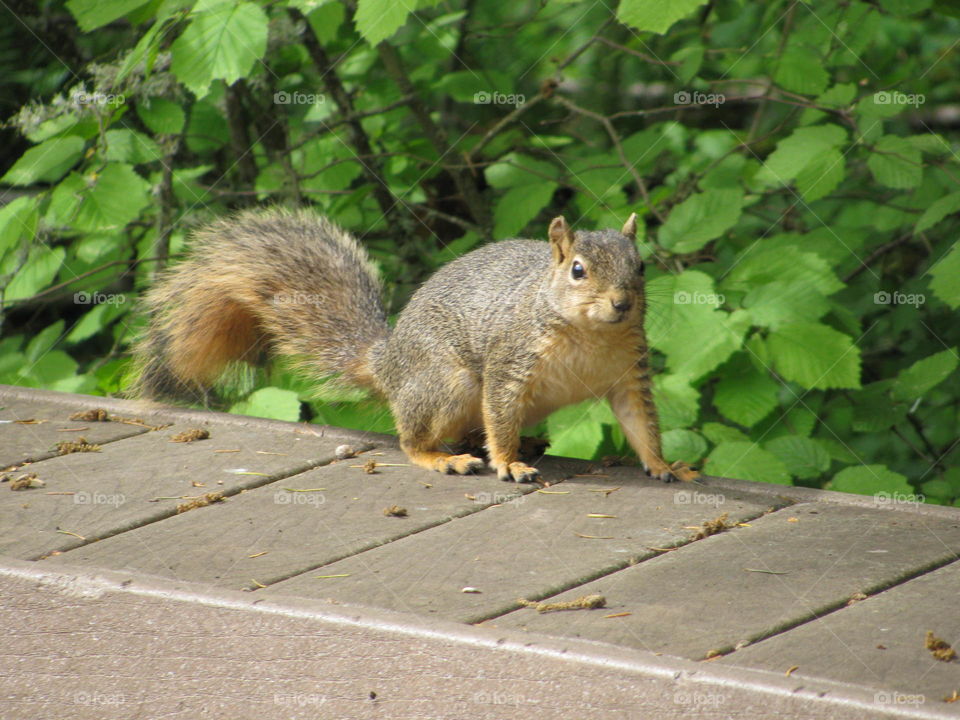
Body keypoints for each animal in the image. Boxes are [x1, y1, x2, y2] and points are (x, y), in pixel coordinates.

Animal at [133, 208, 699, 484]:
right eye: (578, 270)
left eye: (640, 266)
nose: (622, 303)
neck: (589, 334)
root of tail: (388, 362)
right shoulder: (509, 361)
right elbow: (500, 414)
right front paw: (509, 463)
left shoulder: (629, 373)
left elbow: (641, 424)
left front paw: (665, 466)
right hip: (445, 384)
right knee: (413, 440)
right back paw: (444, 458)